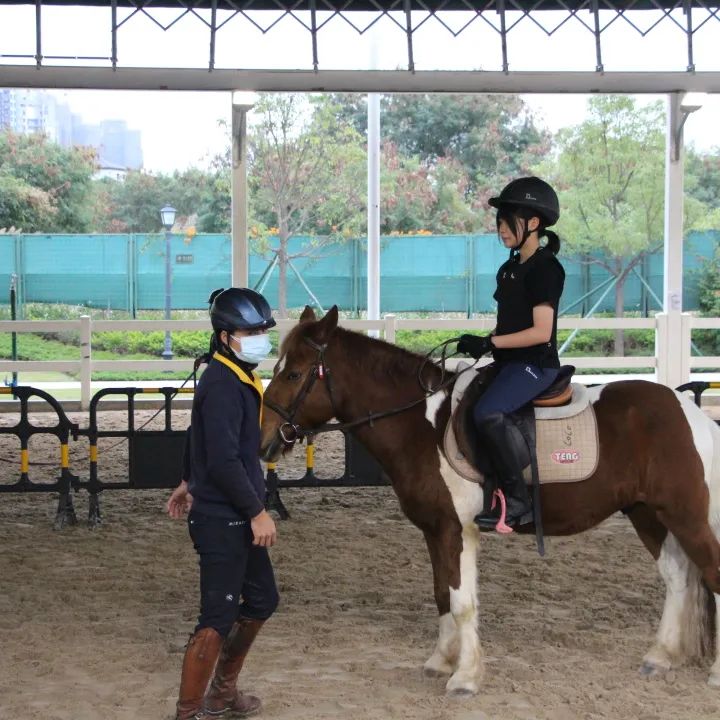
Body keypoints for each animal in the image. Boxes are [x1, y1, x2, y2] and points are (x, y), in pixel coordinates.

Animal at [260, 306, 720, 696]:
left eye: (294, 373)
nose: (266, 441)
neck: (422, 425)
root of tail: (691, 414)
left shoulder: (456, 530)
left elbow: (463, 602)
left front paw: (464, 677)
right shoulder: (435, 530)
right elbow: (442, 594)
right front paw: (441, 661)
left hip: (686, 517)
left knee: (710, 574)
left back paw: (713, 674)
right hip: (649, 514)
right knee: (679, 577)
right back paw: (660, 657)